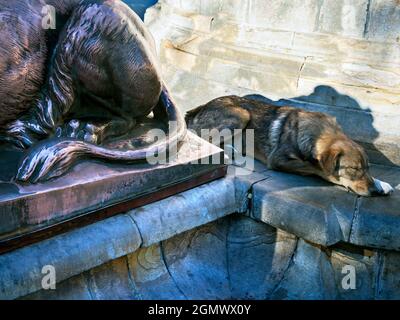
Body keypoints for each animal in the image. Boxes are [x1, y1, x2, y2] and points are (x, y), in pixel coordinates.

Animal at [187, 95, 394, 196]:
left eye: (367, 168)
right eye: (353, 169)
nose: (374, 191)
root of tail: (198, 108)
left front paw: (381, 184)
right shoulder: (279, 159)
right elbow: (319, 169)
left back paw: (235, 156)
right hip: (241, 114)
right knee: (200, 138)